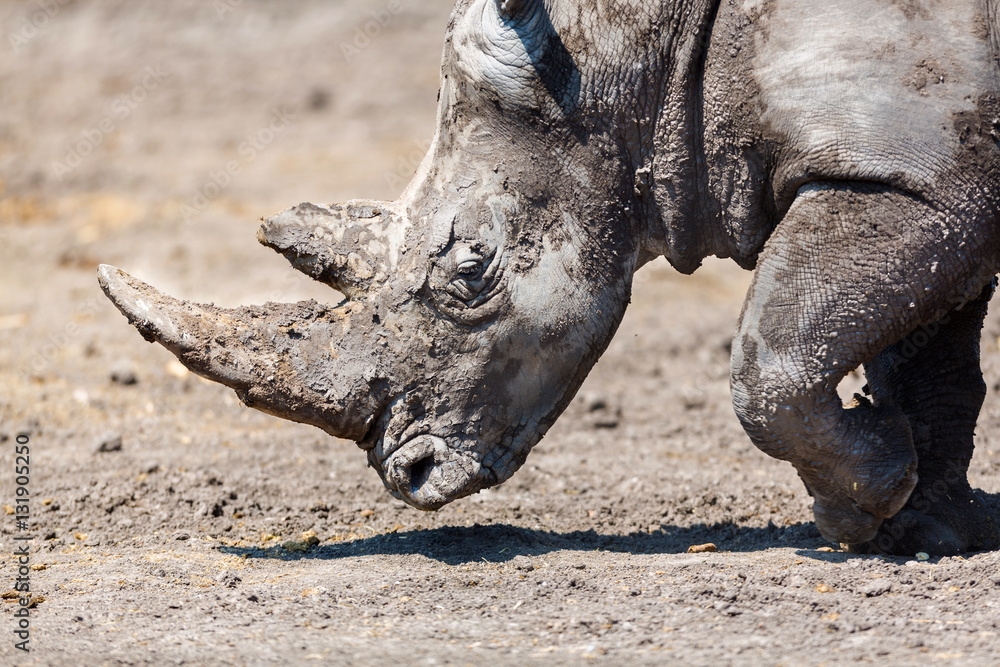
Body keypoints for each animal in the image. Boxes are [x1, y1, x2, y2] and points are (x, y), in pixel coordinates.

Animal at [99, 0, 1000, 555]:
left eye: (472, 270)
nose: (408, 474)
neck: (640, 58)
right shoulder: (931, 185)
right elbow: (930, 363)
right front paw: (928, 525)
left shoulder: (916, 182)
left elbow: (774, 355)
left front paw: (860, 507)